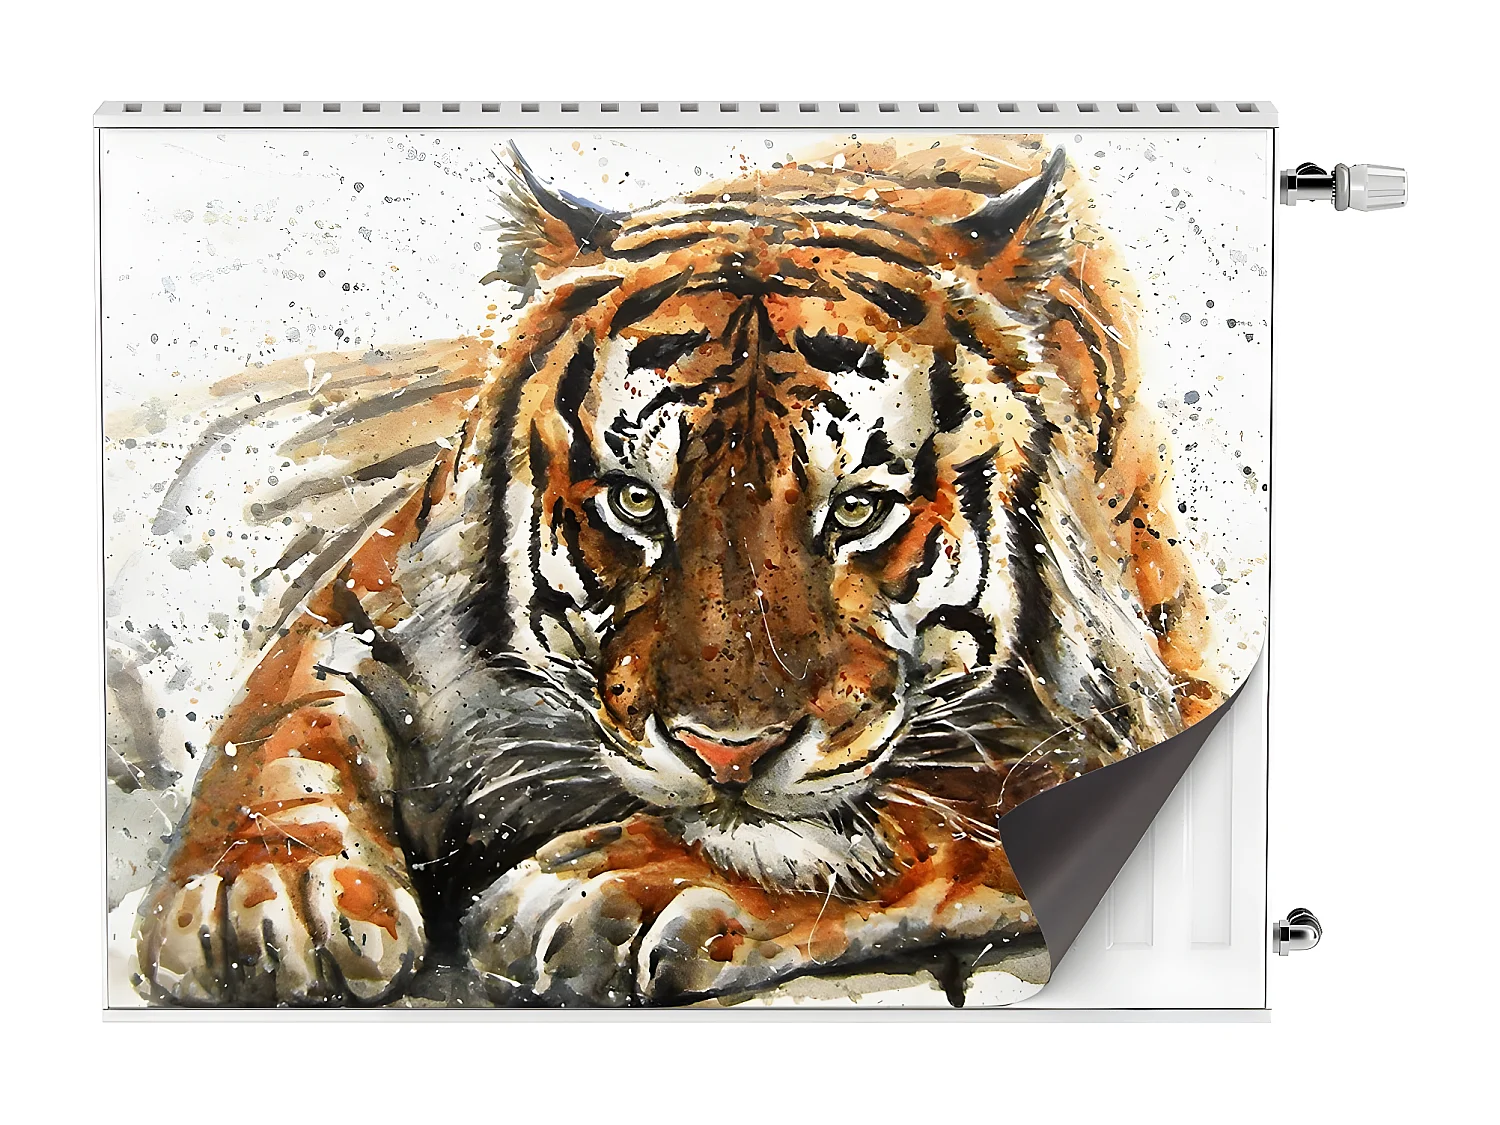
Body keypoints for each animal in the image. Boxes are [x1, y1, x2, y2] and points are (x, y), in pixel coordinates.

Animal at [133, 133, 1220, 1007]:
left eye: (858, 510)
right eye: (636, 501)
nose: (726, 756)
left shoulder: (1145, 706)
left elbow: (936, 809)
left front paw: (616, 886)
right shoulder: (373, 590)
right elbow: (282, 717)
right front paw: (264, 890)